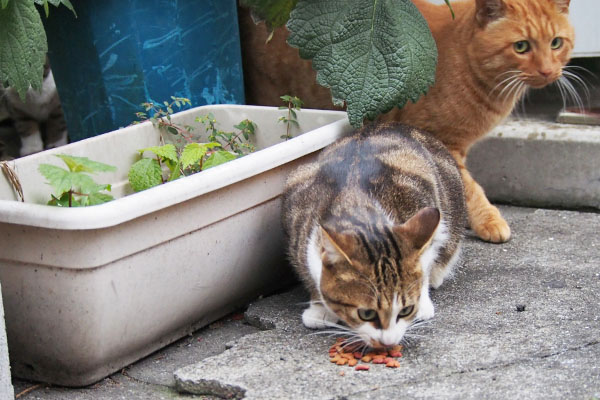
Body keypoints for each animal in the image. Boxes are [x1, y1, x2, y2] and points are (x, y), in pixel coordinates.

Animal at [284, 124, 466, 346]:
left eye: (405, 310)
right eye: (366, 313)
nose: (389, 343)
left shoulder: (422, 199)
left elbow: (424, 263)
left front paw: (421, 303)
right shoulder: (296, 217)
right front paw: (319, 310)